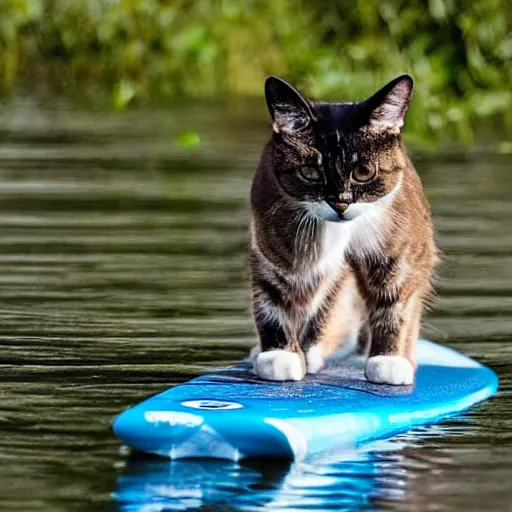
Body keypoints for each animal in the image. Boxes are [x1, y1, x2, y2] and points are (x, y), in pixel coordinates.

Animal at [248, 72, 436, 384]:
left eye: (364, 171)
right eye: (310, 172)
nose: (340, 203)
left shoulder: (401, 248)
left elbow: (396, 299)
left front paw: (389, 360)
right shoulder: (272, 244)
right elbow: (273, 298)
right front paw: (279, 355)